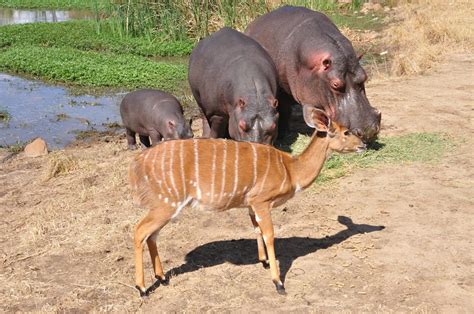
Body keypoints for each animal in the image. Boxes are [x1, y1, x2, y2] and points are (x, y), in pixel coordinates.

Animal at [130, 108, 366, 296]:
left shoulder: (251, 205)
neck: (291, 170)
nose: (363, 144)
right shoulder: (262, 200)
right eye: (346, 132)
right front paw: (278, 283)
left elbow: (256, 229)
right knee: (140, 231)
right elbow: (269, 234)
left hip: (165, 206)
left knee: (152, 236)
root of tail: (138, 163)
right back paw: (142, 289)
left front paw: (264, 261)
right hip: (166, 203)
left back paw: (162, 278)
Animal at [244, 5, 382, 142]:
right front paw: (283, 135)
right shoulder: (282, 91)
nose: (368, 130)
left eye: (365, 76)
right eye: (335, 84)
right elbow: (284, 110)